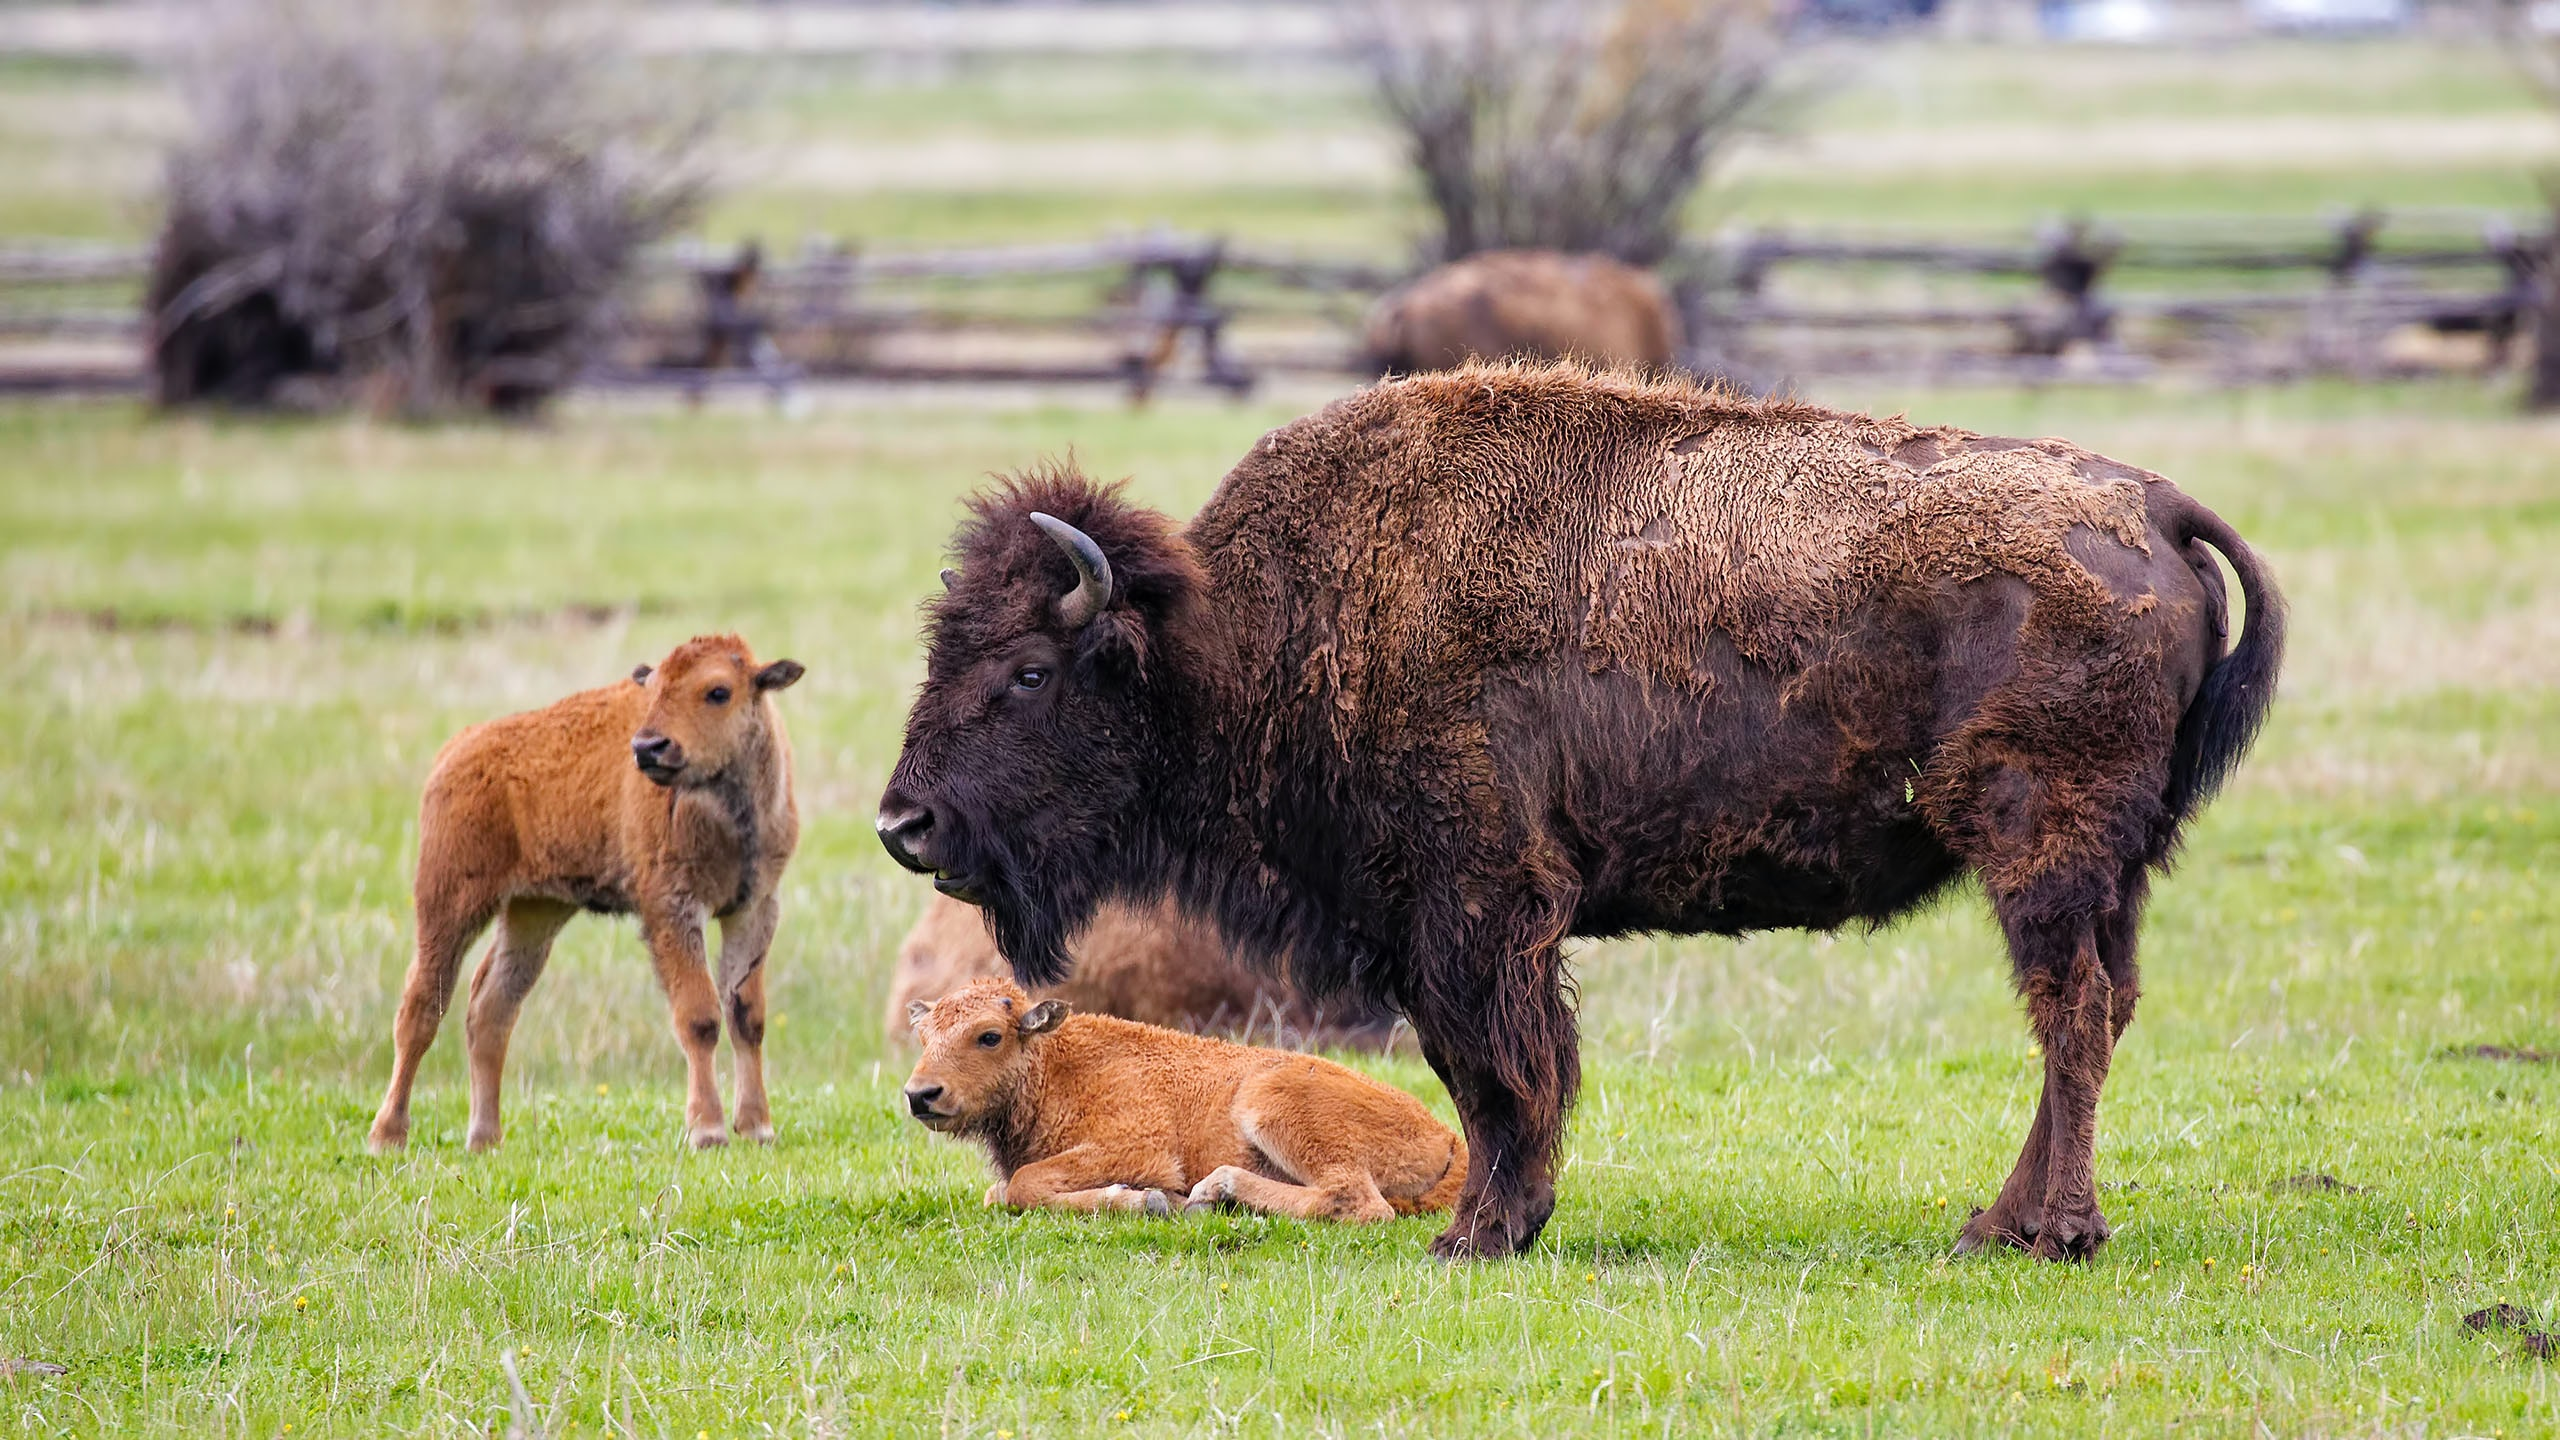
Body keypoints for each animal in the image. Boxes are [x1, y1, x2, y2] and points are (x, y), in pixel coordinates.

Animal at [901, 968, 1464, 1214]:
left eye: (989, 1035)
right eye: (925, 1037)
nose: (920, 1094)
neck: (1058, 1066)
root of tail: (1447, 1137)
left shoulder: (1136, 1148)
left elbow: (1023, 1184)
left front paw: (1150, 1200)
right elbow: (999, 1192)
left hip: (1270, 1102)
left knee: (1357, 1200)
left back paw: (1215, 1192)